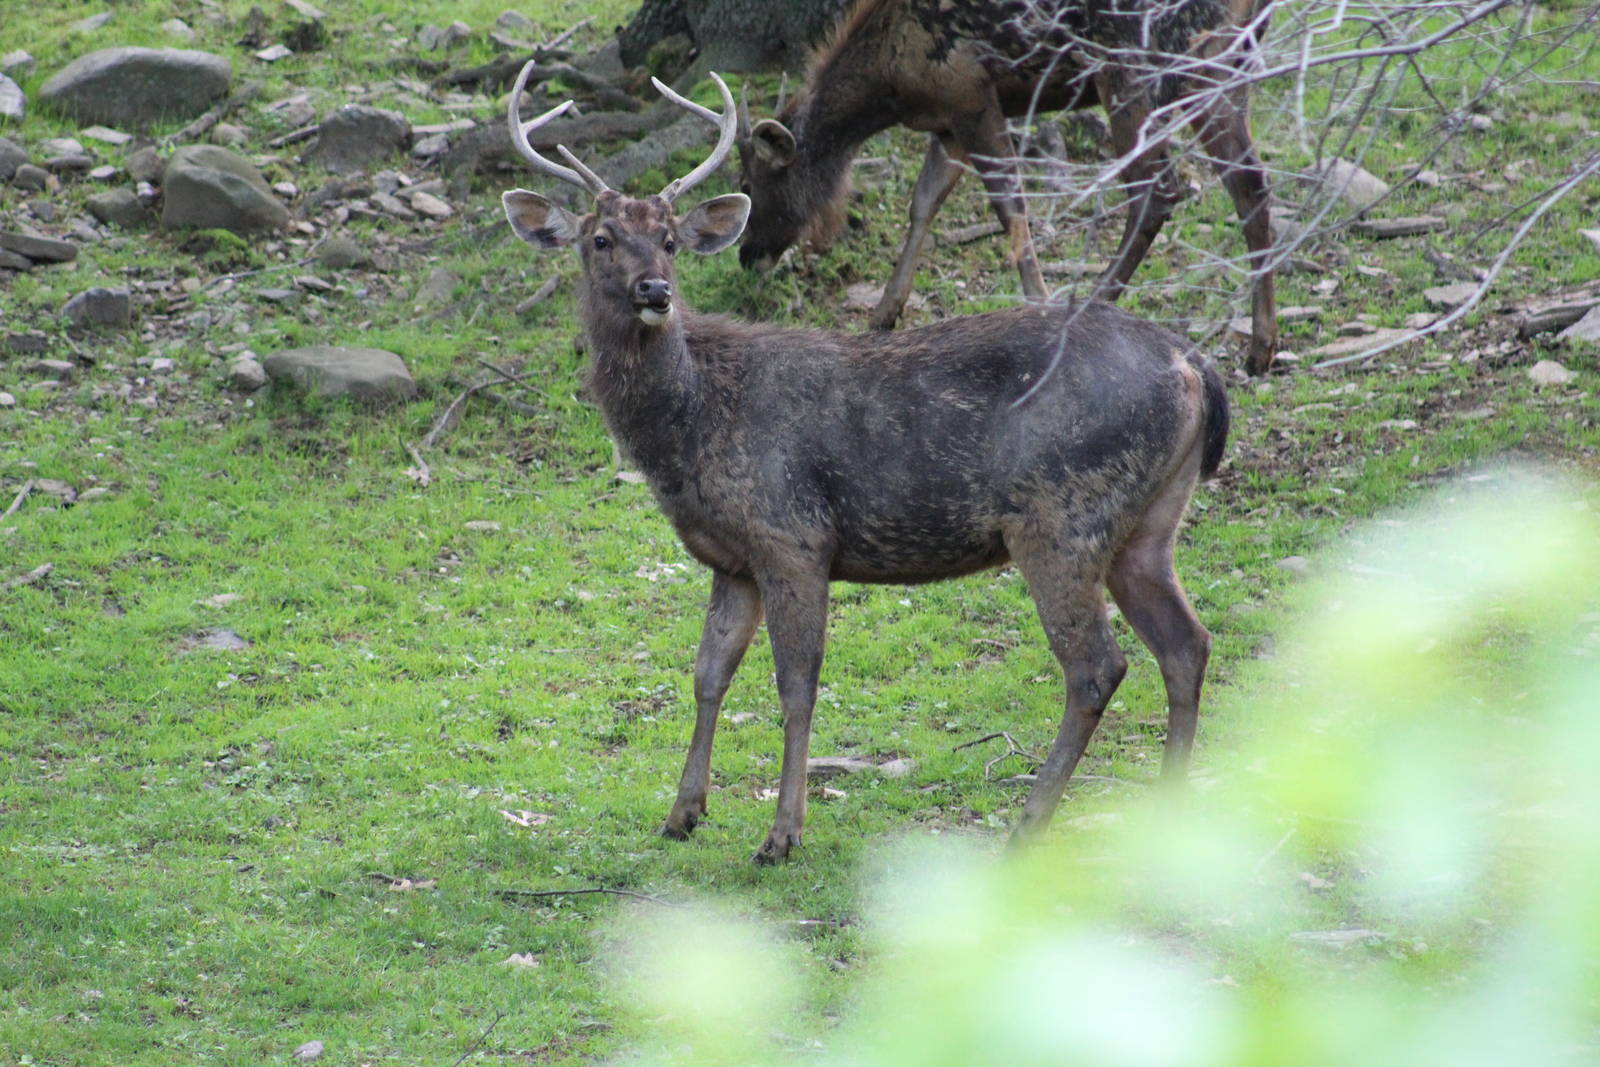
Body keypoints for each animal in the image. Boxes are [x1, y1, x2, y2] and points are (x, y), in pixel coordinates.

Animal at [500, 60, 1230, 864]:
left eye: (669, 240)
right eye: (601, 238)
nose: (655, 291)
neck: (692, 427)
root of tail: (1194, 366)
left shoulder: (792, 534)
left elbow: (796, 685)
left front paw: (782, 833)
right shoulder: (733, 558)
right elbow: (707, 674)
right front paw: (683, 811)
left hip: (1062, 515)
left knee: (1098, 666)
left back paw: (1029, 820)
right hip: (1147, 524)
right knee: (1186, 644)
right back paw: (1171, 812)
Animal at [735, 0, 1279, 376]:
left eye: (749, 183)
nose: (746, 256)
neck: (890, 82)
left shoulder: (970, 94)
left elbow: (1008, 203)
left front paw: (1039, 303)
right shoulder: (947, 123)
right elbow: (923, 202)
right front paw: (884, 313)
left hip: (1132, 69)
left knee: (1158, 191)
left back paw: (1091, 303)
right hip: (1224, 66)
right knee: (1249, 183)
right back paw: (1261, 348)